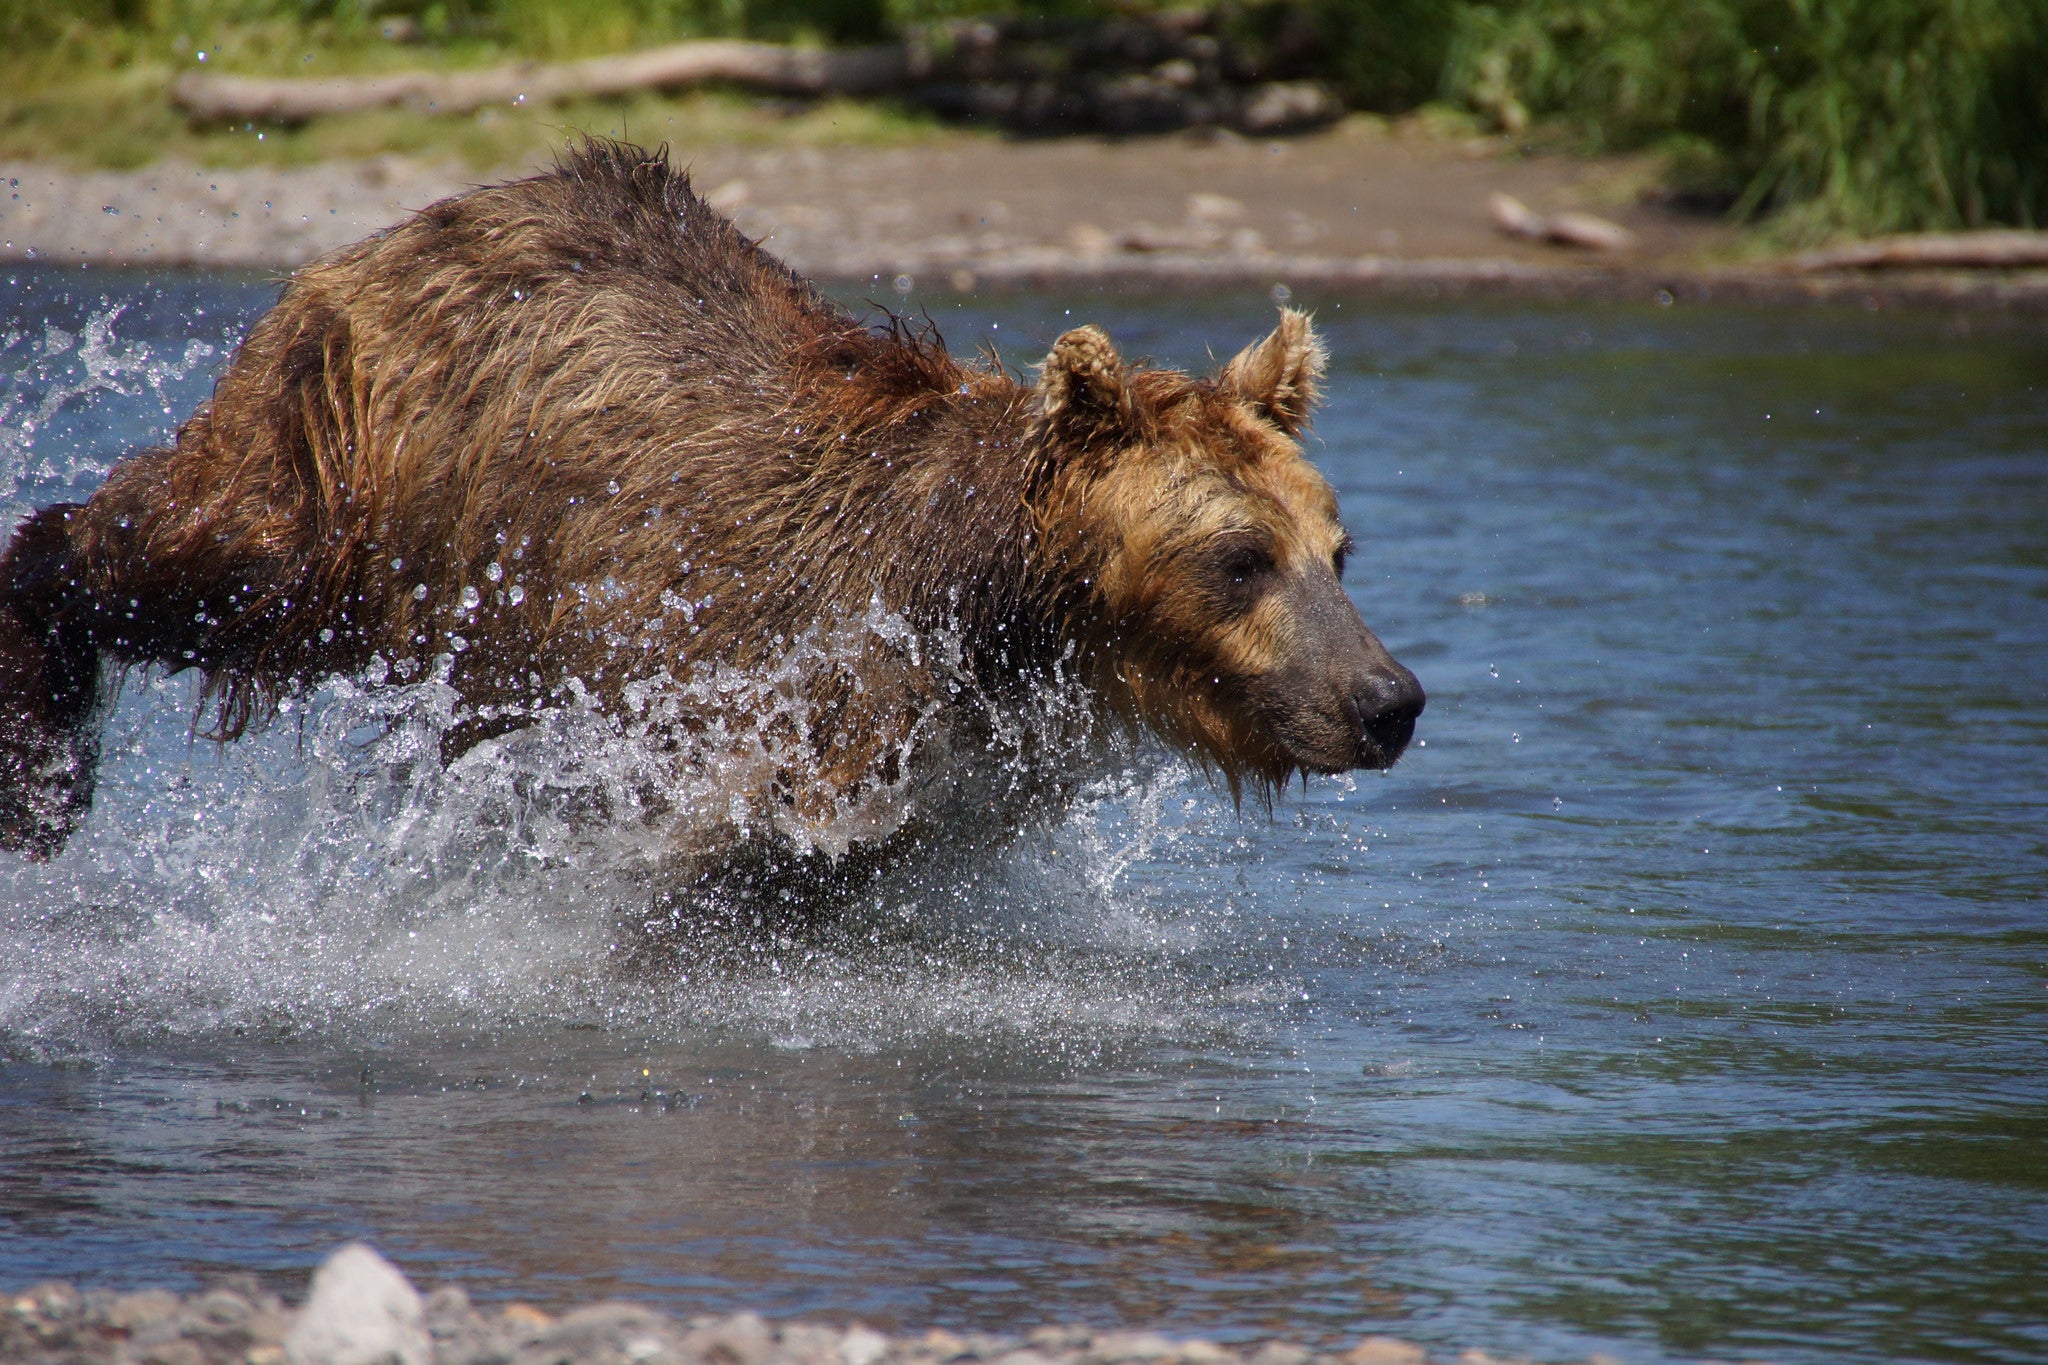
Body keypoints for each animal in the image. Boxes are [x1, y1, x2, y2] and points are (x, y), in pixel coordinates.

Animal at [0, 139, 1422, 867]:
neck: (988, 613)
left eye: (1337, 551)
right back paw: (42, 761)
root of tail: (432, 212)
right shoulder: (766, 678)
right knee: (197, 556)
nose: (1386, 700)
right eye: (1238, 558)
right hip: (364, 466)